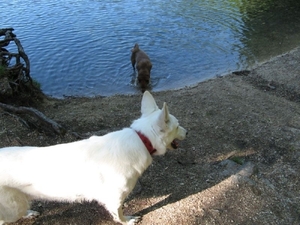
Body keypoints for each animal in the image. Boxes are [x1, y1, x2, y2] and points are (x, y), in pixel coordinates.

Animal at [0, 91, 186, 225]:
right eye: (177, 126)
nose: (187, 132)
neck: (141, 139)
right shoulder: (115, 197)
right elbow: (118, 214)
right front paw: (127, 221)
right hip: (13, 207)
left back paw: (29, 213)